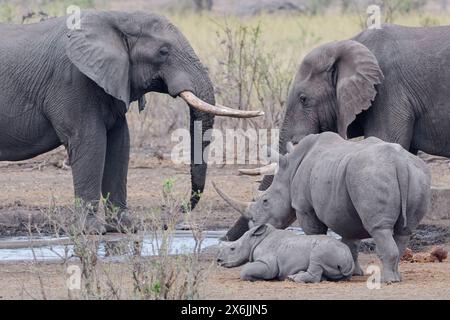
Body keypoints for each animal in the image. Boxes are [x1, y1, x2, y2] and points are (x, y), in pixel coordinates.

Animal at [0, 11, 262, 234]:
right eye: (163, 52)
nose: (179, 213)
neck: (115, 18)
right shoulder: (72, 80)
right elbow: (90, 141)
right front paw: (91, 232)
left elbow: (120, 143)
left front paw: (125, 228)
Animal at [218, 222, 356, 282]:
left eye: (232, 248)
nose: (218, 260)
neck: (255, 240)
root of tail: (349, 258)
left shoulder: (268, 264)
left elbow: (246, 270)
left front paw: (256, 279)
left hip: (325, 249)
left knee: (316, 259)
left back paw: (293, 279)